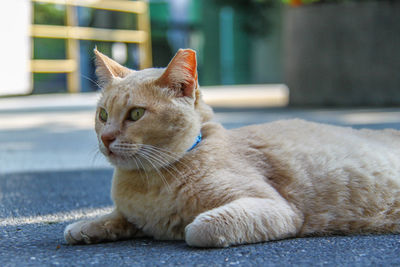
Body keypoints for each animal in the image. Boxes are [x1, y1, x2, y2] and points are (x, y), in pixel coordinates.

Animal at [63, 48, 400, 249]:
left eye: (135, 114)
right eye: (102, 115)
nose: (106, 137)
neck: (145, 184)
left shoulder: (275, 208)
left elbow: (197, 229)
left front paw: (184, 227)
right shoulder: (132, 215)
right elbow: (113, 219)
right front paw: (85, 226)